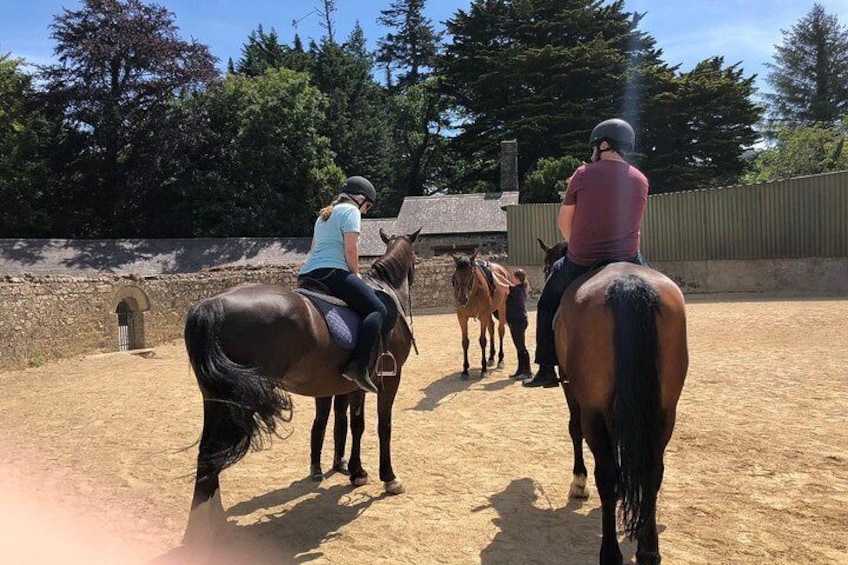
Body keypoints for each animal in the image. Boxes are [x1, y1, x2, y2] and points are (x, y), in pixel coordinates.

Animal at [186, 227, 424, 544]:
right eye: (416, 260)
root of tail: (212, 304)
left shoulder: (356, 386)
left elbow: (356, 425)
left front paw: (356, 472)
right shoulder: (389, 381)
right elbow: (383, 427)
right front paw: (389, 477)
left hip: (217, 399)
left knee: (209, 452)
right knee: (215, 451)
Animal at [544, 240, 688, 560]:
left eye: (547, 266)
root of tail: (627, 283)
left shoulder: (573, 390)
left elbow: (574, 429)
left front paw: (578, 483)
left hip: (594, 410)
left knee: (606, 473)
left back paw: (610, 552)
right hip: (664, 411)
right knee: (653, 470)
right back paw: (648, 551)